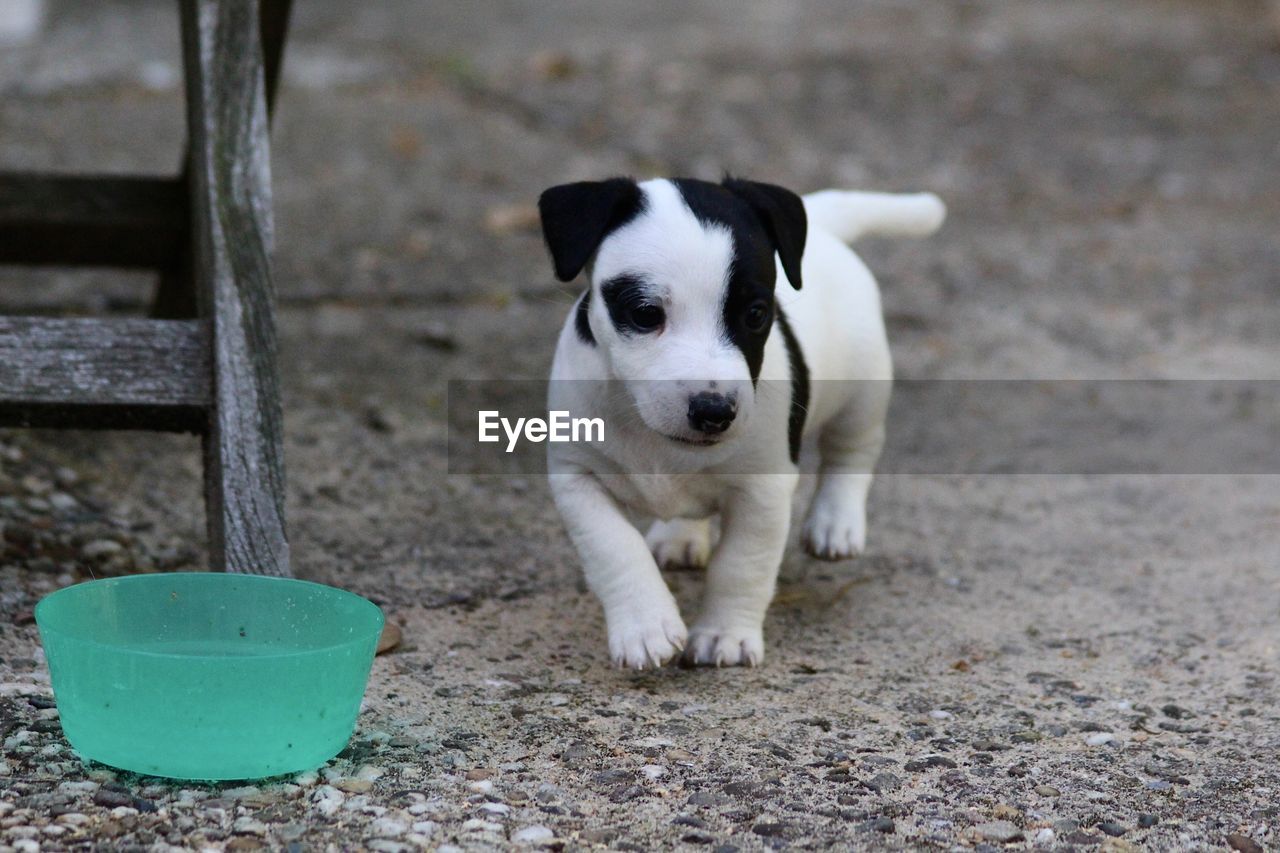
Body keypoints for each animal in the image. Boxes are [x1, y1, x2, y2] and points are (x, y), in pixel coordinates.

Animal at [535, 174, 947, 666]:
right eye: (645, 313)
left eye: (756, 314)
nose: (714, 411)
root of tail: (822, 223)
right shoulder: (577, 478)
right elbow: (613, 548)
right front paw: (645, 625)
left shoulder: (762, 491)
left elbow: (741, 566)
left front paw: (723, 635)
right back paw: (679, 537)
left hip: (862, 391)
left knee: (851, 453)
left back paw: (835, 522)